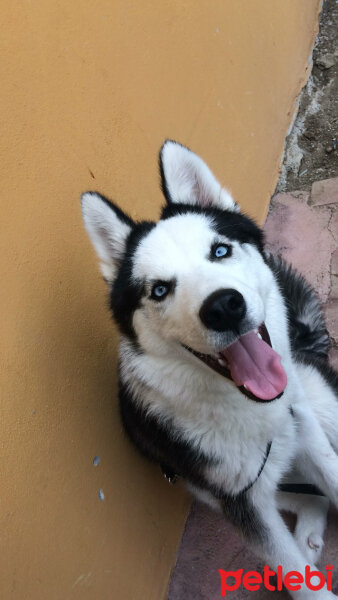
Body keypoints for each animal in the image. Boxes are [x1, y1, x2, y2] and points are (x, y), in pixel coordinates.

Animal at [81, 142, 338, 600]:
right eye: (159, 290)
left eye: (220, 251)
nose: (223, 307)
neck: (247, 408)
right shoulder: (237, 499)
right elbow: (289, 566)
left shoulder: (305, 429)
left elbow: (331, 472)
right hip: (205, 487)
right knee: (304, 499)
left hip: (316, 399)